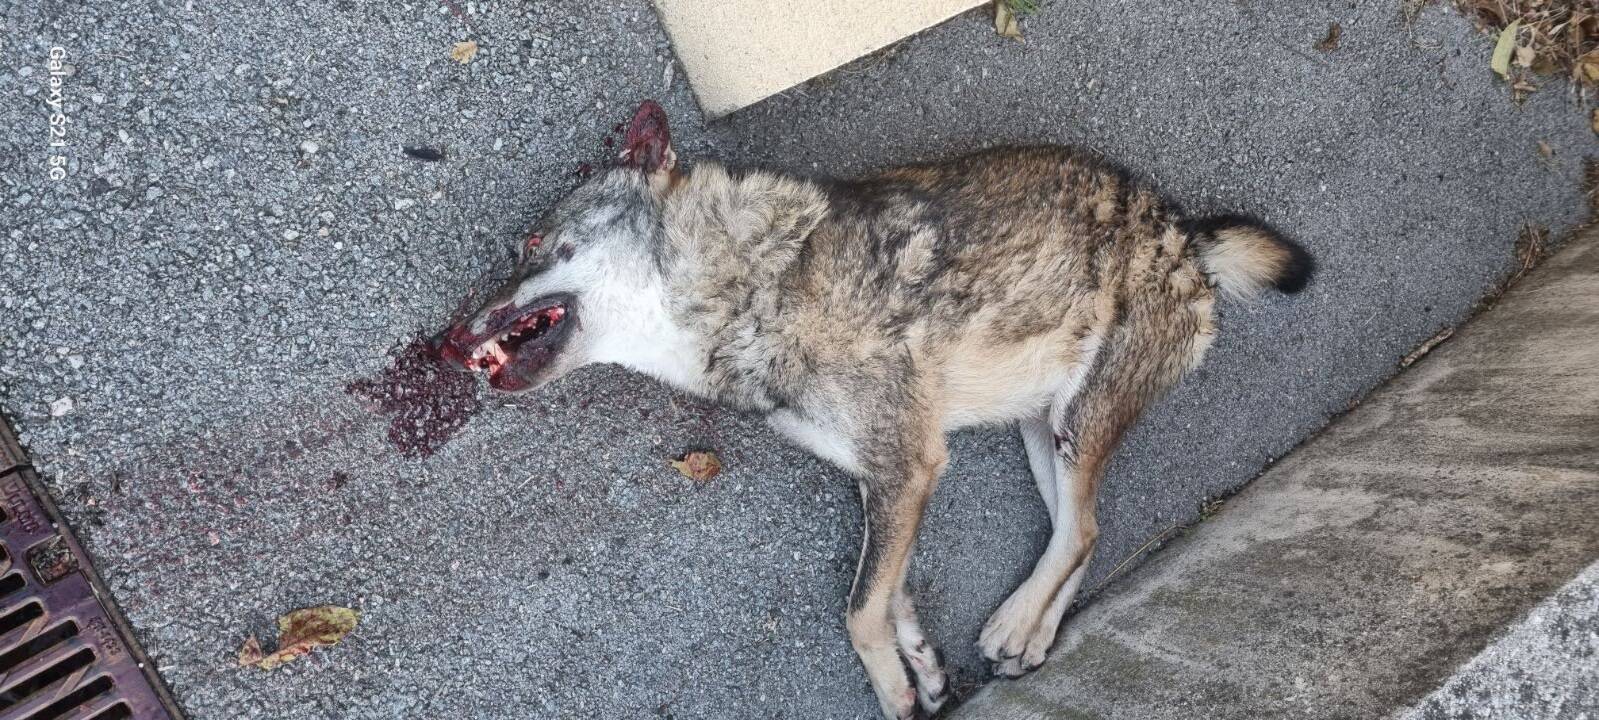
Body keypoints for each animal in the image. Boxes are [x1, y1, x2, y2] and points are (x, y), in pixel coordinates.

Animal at [433, 100, 1312, 718]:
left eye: (531, 247)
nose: (445, 343)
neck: (747, 281)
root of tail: (1185, 233)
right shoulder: (882, 474)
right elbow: (888, 592)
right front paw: (920, 662)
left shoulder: (909, 465)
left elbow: (857, 611)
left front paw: (893, 689)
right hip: (1040, 429)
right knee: (1083, 531)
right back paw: (1031, 635)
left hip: (1076, 422)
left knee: (1083, 528)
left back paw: (1014, 625)